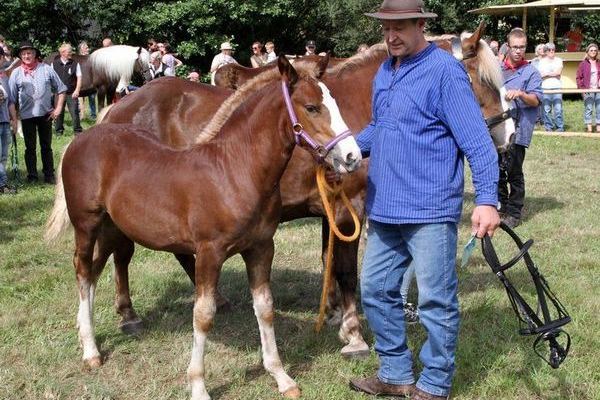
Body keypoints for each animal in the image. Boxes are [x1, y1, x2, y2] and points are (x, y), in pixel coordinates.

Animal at [45, 56, 360, 400]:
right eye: (312, 107)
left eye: (336, 102)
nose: (352, 156)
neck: (235, 170)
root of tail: (82, 138)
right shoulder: (210, 253)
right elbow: (203, 315)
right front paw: (198, 385)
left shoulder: (261, 248)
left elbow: (265, 308)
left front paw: (281, 377)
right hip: (87, 224)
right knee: (83, 270)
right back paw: (91, 350)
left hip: (113, 226)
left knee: (96, 270)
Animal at [101, 21, 512, 360]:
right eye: (484, 81)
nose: (507, 135)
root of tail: (119, 108)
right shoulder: (349, 209)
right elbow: (345, 270)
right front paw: (353, 333)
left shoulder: (331, 210)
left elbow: (328, 258)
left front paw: (331, 312)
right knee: (122, 255)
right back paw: (128, 314)